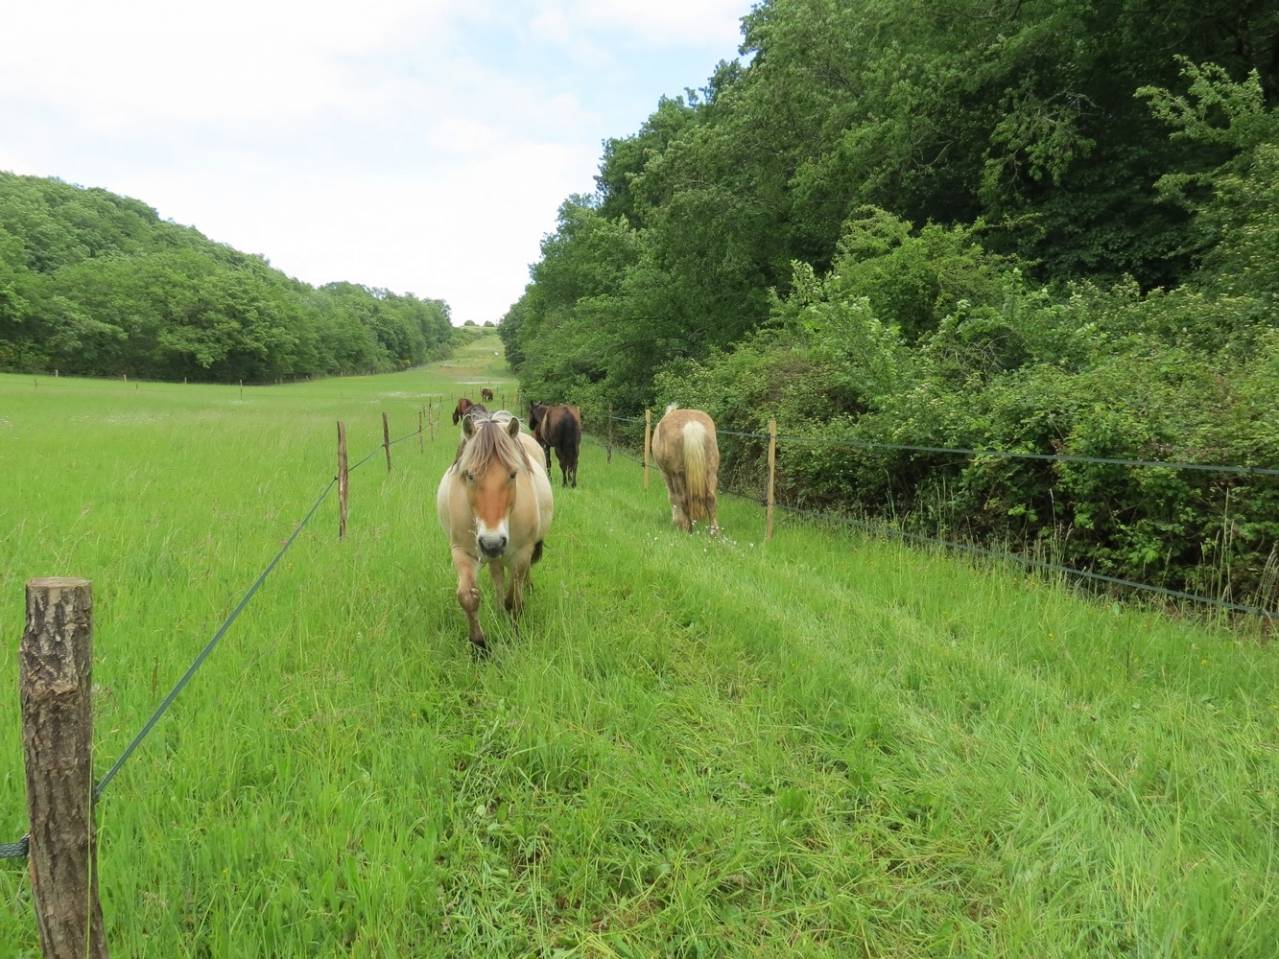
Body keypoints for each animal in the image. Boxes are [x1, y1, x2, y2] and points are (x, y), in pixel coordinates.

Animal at [436, 413, 553, 652]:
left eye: (512, 474)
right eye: (470, 475)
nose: (492, 543)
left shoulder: (522, 553)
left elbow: (515, 599)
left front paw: (516, 634)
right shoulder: (463, 551)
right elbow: (468, 597)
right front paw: (479, 646)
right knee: (498, 574)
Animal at [651, 404, 720, 535]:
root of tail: (691, 425)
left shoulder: (667, 475)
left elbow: (673, 497)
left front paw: (676, 520)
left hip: (677, 475)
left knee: (683, 499)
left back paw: (687, 529)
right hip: (711, 472)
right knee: (711, 499)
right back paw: (714, 533)